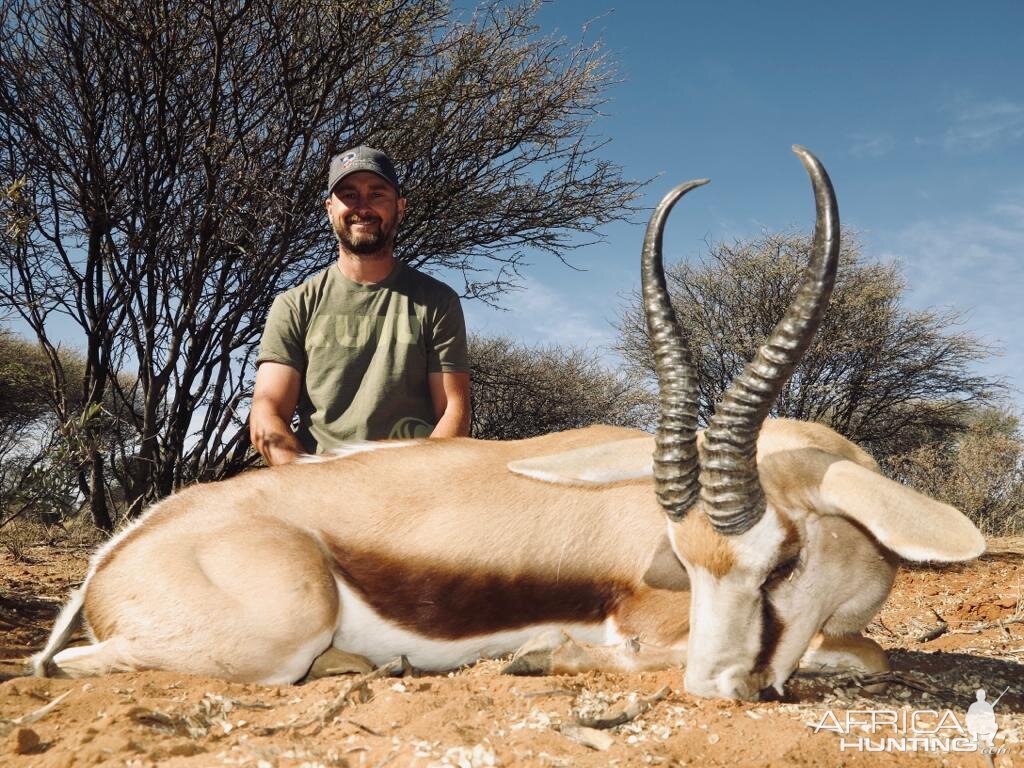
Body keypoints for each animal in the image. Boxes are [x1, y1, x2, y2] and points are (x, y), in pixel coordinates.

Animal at [34, 145, 983, 704]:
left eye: (783, 562)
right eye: (686, 564)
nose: (720, 691)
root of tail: (118, 552)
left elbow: (868, 651)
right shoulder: (652, 626)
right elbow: (858, 655)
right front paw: (541, 657)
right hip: (274, 629)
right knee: (57, 666)